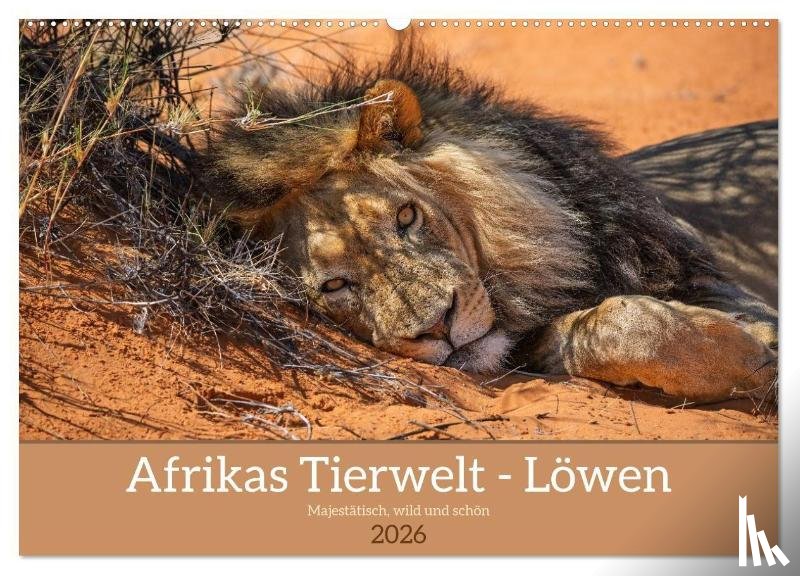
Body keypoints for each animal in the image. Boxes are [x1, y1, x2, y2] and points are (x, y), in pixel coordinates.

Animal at [206, 43, 777, 403]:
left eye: (407, 216)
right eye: (335, 285)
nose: (440, 326)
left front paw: (760, 345)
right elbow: (611, 324)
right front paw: (753, 353)